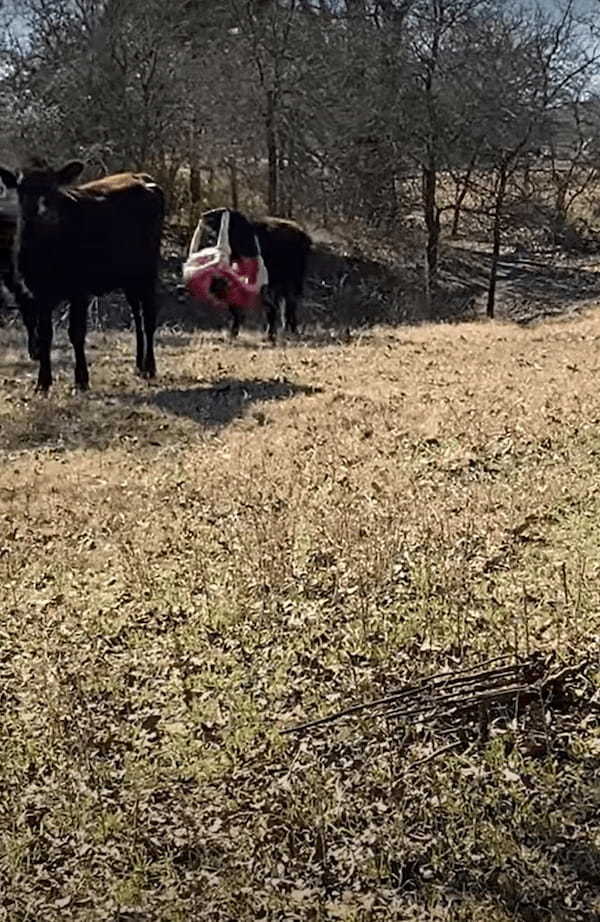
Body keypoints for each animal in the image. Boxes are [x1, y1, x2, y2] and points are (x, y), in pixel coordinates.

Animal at [0, 158, 164, 388]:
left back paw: (149, 366)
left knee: (148, 318)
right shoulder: (39, 294)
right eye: (22, 188)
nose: (43, 210)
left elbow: (76, 334)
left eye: (54, 187)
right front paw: (43, 382)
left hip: (147, 271)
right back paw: (139, 365)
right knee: (137, 317)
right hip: (128, 277)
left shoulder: (78, 291)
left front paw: (81, 379)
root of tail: (141, 177)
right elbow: (45, 335)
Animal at [195, 205, 312, 342]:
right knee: (286, 303)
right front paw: (233, 333)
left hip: (294, 279)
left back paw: (289, 331)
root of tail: (304, 235)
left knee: (290, 302)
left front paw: (270, 335)